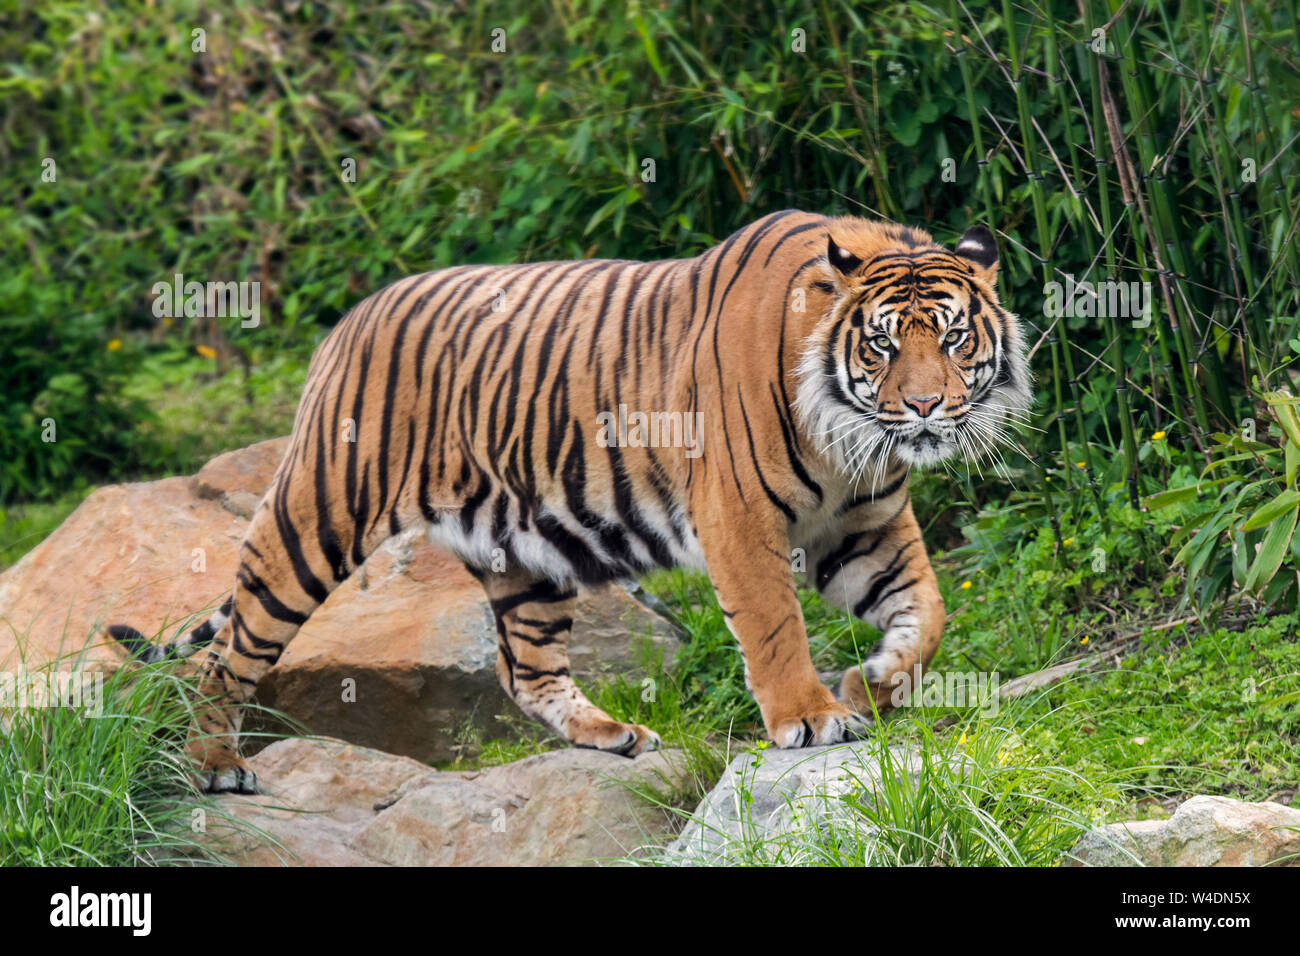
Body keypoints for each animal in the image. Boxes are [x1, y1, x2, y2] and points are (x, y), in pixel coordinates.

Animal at [109, 213, 1024, 796]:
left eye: (952, 338)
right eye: (881, 345)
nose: (926, 407)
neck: (850, 441)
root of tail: (348, 322)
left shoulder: (864, 524)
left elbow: (928, 612)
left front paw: (872, 686)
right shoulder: (739, 519)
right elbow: (773, 626)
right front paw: (809, 716)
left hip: (524, 553)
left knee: (525, 671)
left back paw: (612, 736)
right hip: (316, 517)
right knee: (228, 652)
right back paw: (213, 767)